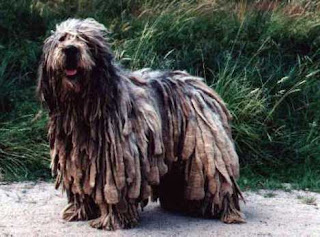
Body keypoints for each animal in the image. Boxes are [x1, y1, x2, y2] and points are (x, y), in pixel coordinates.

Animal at [37, 18, 244, 230]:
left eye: (85, 41)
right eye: (62, 39)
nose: (70, 50)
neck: (83, 104)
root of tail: (200, 84)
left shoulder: (117, 160)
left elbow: (113, 192)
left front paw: (110, 219)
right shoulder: (75, 158)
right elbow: (79, 184)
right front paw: (79, 211)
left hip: (205, 149)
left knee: (219, 181)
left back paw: (229, 213)